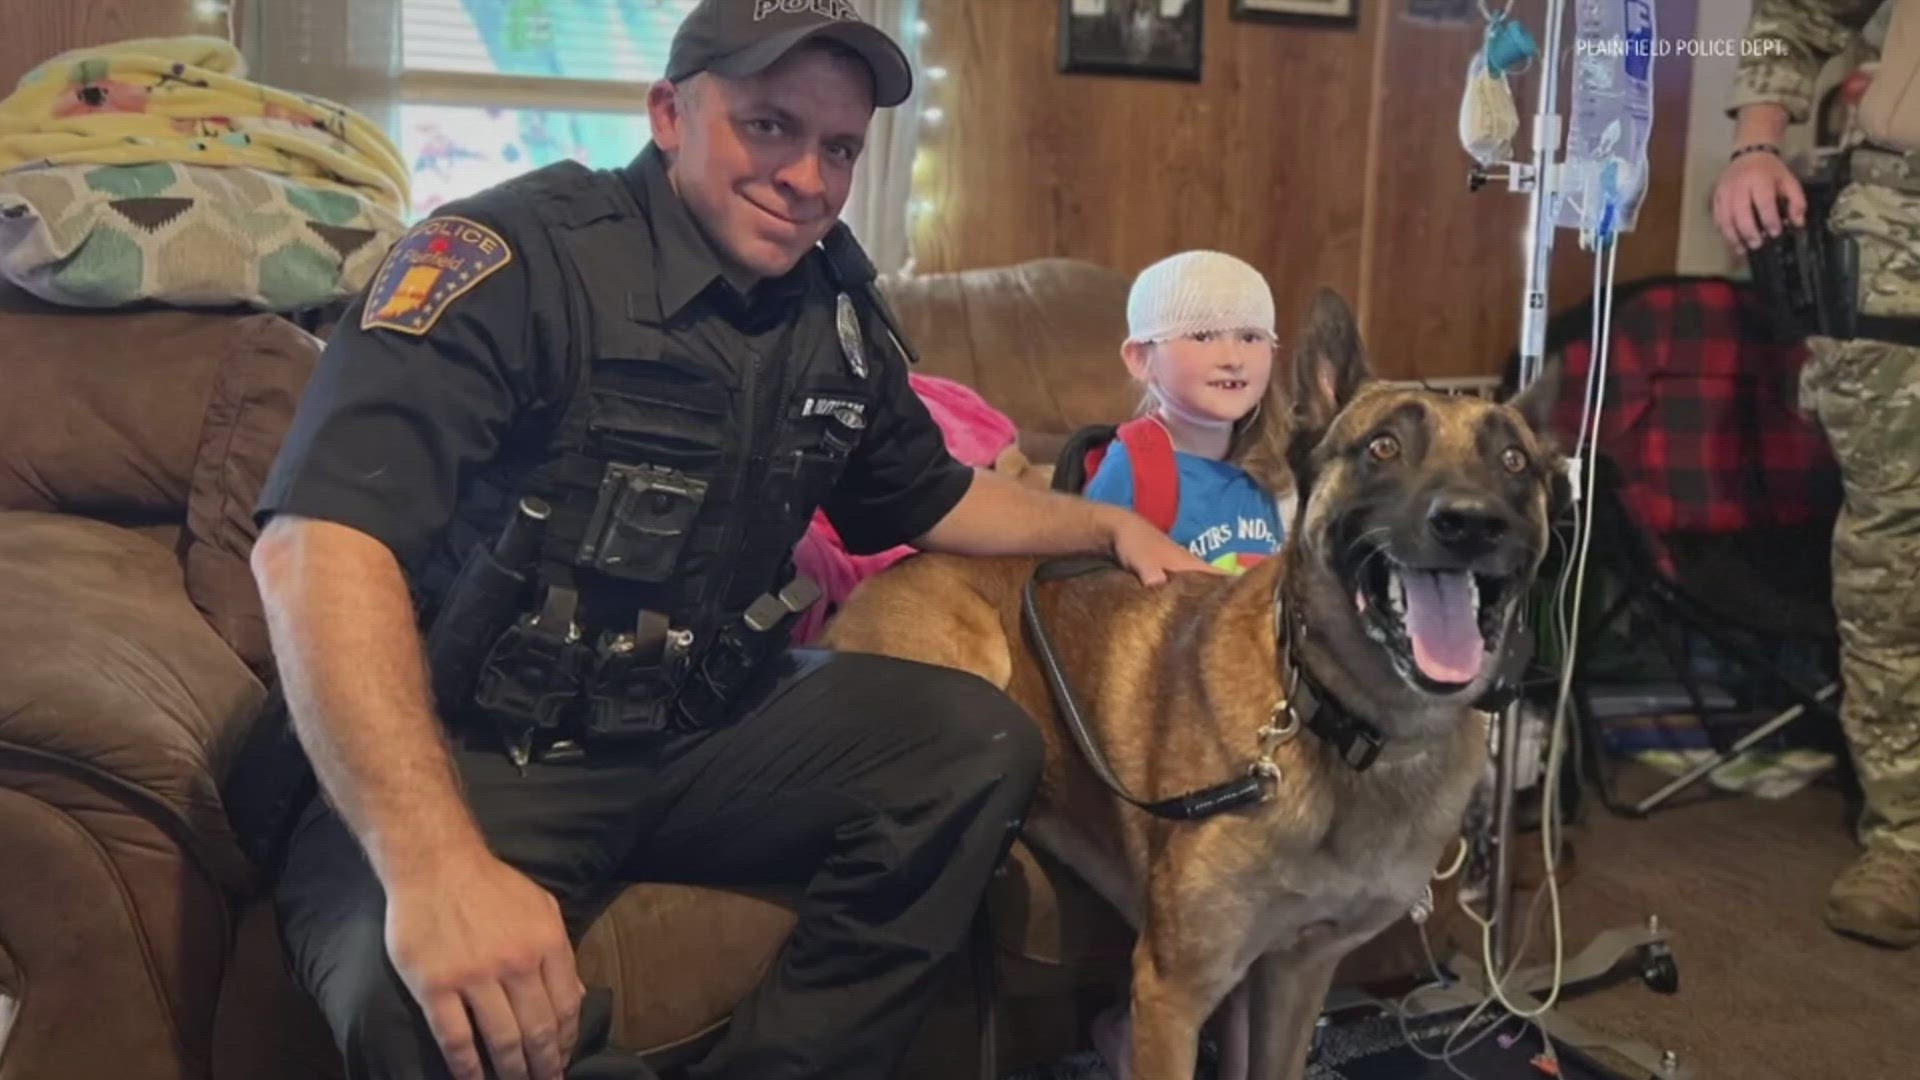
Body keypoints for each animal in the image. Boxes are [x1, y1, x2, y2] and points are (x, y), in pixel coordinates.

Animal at [817, 288, 1566, 1076]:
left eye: (1514, 461)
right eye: (1383, 448)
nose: (1471, 523)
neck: (1350, 727)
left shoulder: (1295, 974)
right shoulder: (1174, 990)